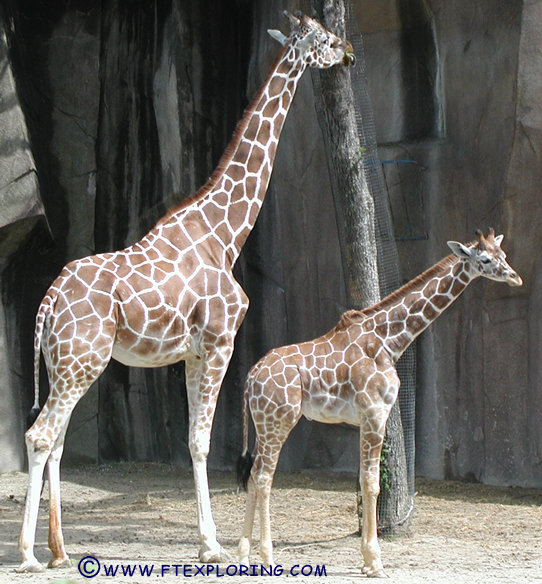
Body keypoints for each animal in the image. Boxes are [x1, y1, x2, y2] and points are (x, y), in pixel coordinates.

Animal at [15, 11, 356, 572]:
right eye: (324, 38)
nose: (349, 51)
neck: (225, 233)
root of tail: (47, 301)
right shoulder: (220, 341)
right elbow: (200, 442)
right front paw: (213, 545)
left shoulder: (192, 353)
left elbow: (196, 443)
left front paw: (207, 541)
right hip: (82, 358)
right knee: (40, 434)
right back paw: (27, 553)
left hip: (65, 361)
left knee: (57, 439)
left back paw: (60, 550)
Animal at [238, 229, 524, 580]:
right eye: (484, 259)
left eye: (503, 254)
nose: (515, 277)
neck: (390, 341)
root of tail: (251, 377)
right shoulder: (375, 412)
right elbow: (371, 483)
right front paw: (374, 562)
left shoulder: (370, 417)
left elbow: (365, 482)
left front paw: (366, 561)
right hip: (278, 419)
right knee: (264, 477)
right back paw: (267, 558)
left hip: (263, 421)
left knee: (254, 475)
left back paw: (244, 554)